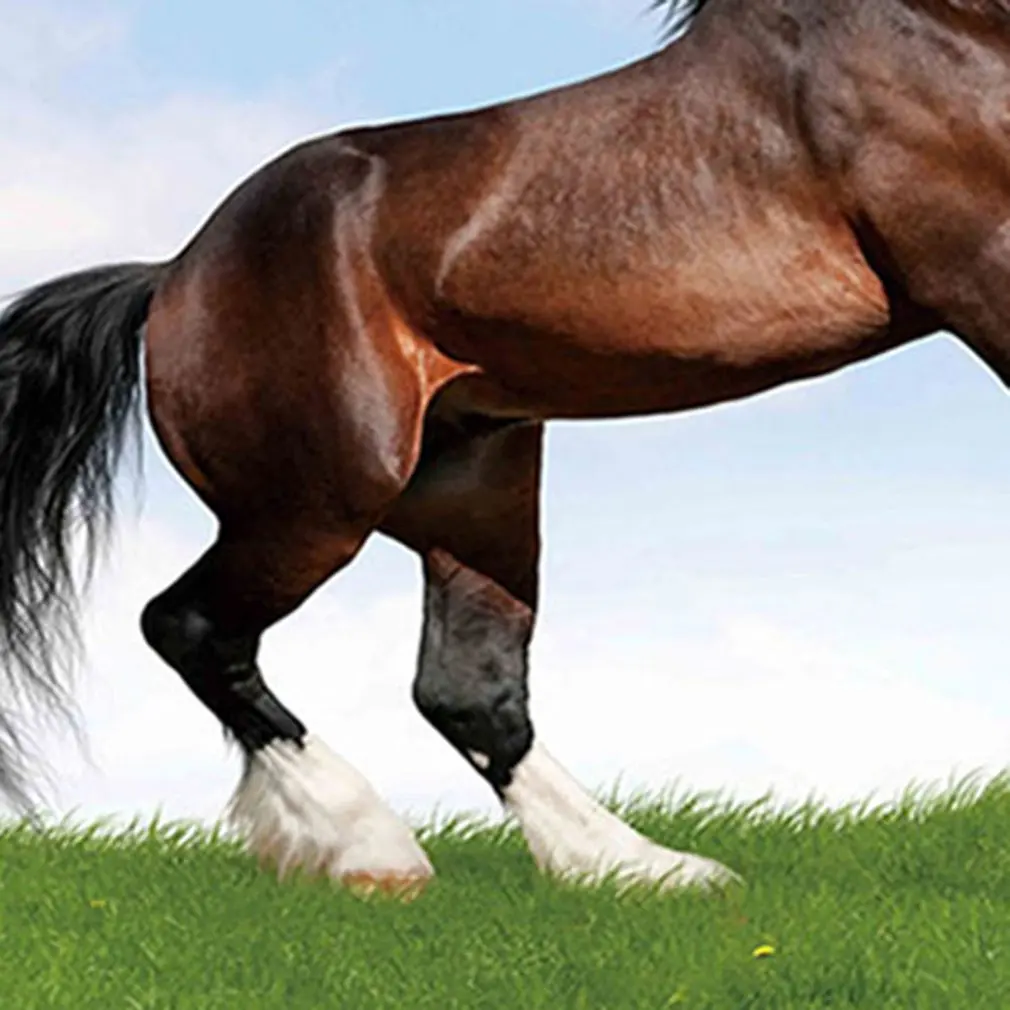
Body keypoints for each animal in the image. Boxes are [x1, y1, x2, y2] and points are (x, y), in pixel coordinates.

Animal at [1, 0, 1005, 898]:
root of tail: (173, 278)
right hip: (316, 503)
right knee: (191, 626)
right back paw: (372, 851)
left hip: (475, 489)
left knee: (465, 691)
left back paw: (646, 871)